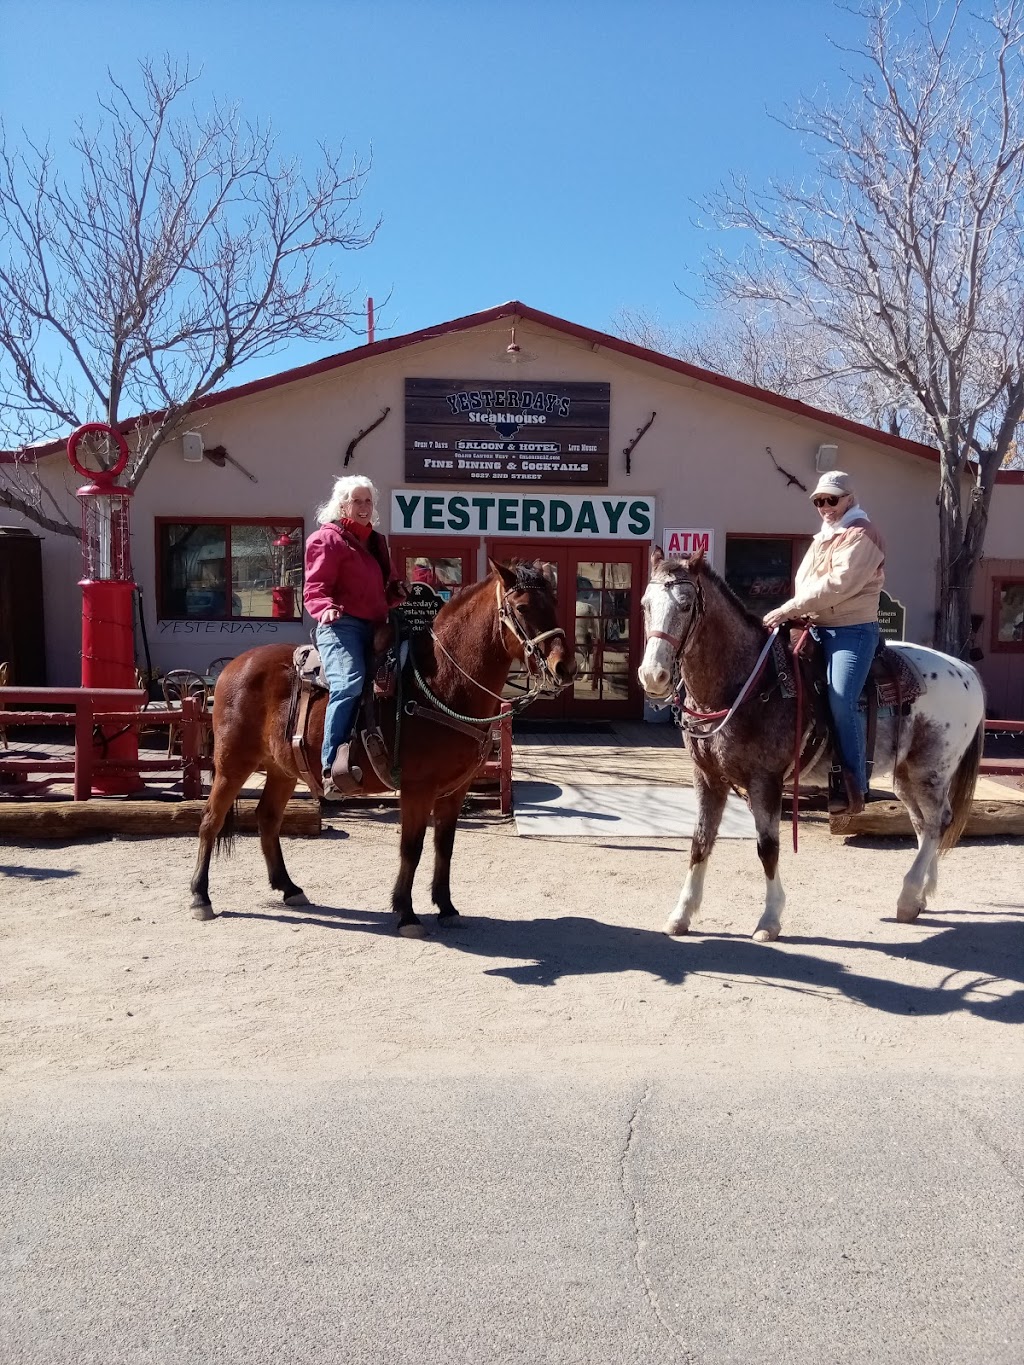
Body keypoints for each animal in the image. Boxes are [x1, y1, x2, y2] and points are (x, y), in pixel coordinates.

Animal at [191, 559, 578, 933]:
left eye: (553, 603)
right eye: (523, 607)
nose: (566, 667)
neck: (441, 683)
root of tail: (233, 667)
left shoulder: (455, 790)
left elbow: (444, 846)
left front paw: (446, 907)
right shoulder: (417, 789)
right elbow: (412, 847)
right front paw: (406, 913)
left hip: (282, 770)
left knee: (267, 819)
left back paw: (289, 888)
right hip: (232, 764)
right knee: (211, 820)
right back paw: (200, 897)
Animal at [641, 543, 988, 939]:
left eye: (685, 605)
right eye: (645, 605)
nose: (653, 676)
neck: (748, 682)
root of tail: (964, 669)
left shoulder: (765, 780)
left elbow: (767, 847)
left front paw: (769, 920)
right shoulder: (708, 777)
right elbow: (700, 841)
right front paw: (681, 914)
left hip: (930, 771)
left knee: (936, 823)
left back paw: (907, 896)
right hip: (906, 775)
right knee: (923, 823)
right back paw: (921, 895)